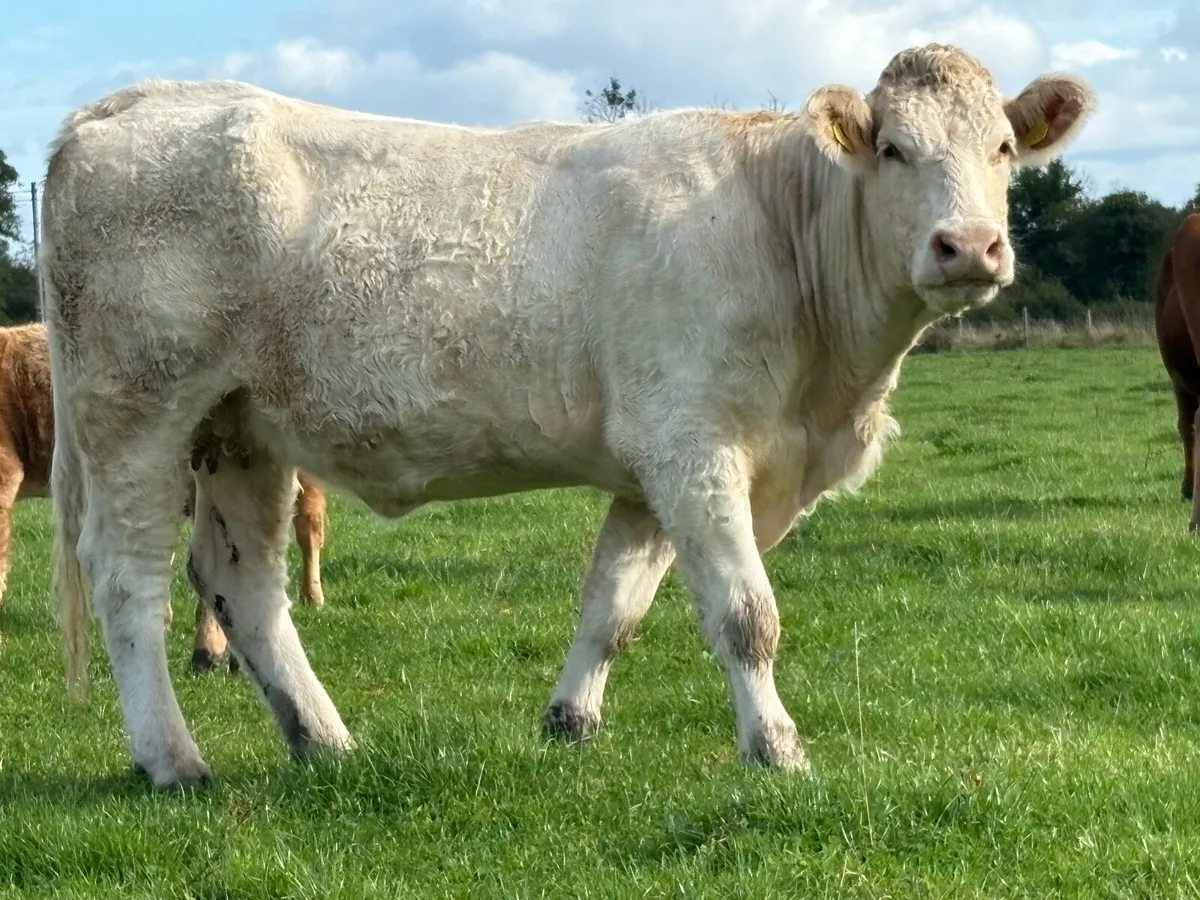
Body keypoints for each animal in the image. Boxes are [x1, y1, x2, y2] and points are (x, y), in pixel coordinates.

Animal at [39, 43, 1094, 787]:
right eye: (893, 149)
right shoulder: (693, 444)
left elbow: (613, 606)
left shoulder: (654, 463)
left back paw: (327, 742)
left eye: (1003, 148)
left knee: (242, 584)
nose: (970, 246)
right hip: (137, 411)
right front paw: (777, 749)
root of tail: (123, 104)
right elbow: (745, 614)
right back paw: (174, 760)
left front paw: (570, 721)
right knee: (127, 580)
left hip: (241, 429)